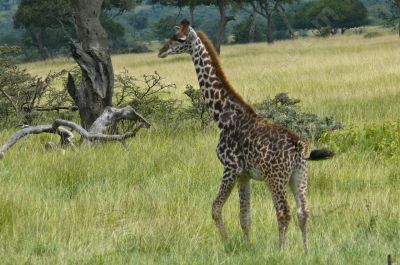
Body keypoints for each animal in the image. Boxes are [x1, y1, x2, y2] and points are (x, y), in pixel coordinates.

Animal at [158, 20, 332, 252]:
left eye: (180, 39)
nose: (161, 51)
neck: (223, 115)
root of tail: (299, 145)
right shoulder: (244, 174)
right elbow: (245, 216)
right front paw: (248, 246)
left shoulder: (230, 167)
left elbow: (215, 208)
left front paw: (227, 243)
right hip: (300, 174)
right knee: (303, 212)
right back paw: (306, 252)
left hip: (275, 177)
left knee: (283, 213)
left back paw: (281, 251)